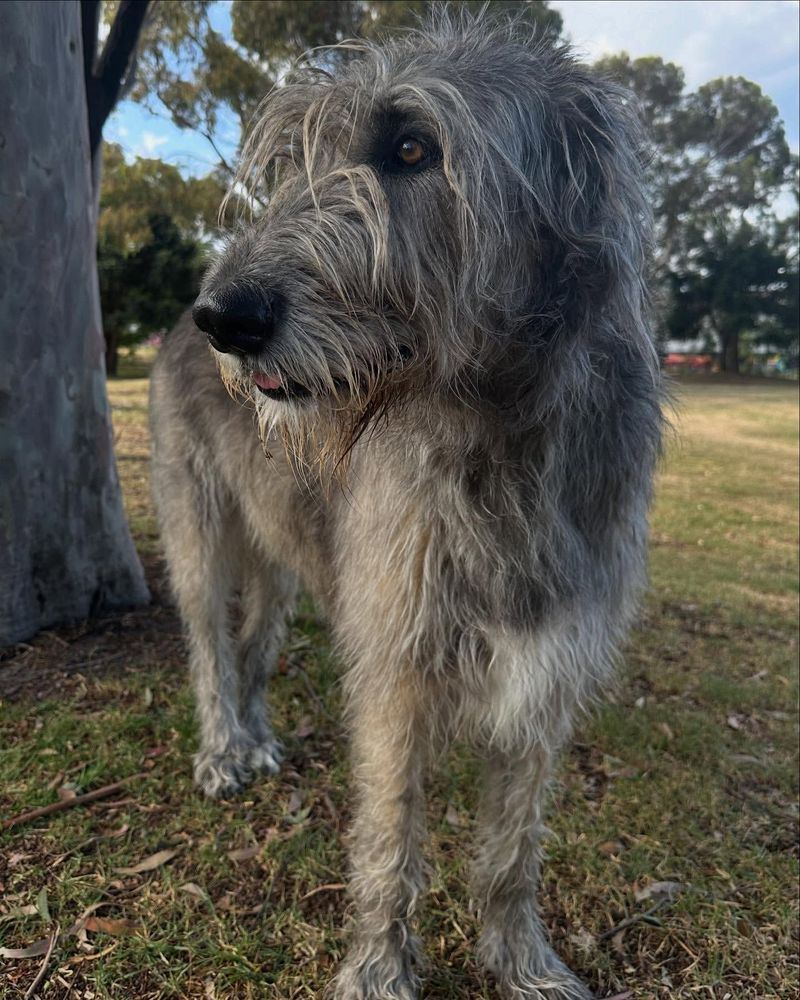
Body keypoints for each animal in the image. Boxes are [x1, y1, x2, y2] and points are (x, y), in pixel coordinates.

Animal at [150, 9, 664, 1000]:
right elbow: (389, 835)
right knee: (209, 648)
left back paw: (257, 734)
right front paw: (378, 970)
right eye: (292, 165)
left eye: (413, 148)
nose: (223, 316)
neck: (495, 436)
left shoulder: (546, 671)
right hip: (198, 528)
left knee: (257, 642)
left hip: (288, 553)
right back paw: (223, 748)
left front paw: (523, 962)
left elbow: (512, 851)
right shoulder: (397, 665)